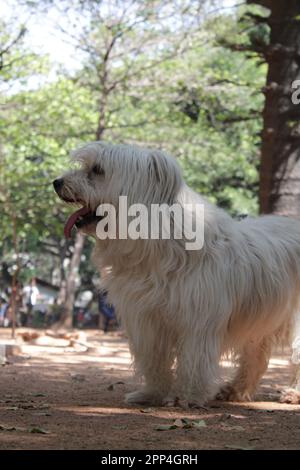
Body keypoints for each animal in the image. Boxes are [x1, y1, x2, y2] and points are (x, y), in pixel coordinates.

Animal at [52, 141, 300, 406]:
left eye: (98, 170)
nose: (56, 182)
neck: (157, 243)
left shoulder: (198, 321)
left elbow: (193, 361)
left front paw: (187, 396)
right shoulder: (147, 320)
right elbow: (154, 360)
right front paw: (153, 393)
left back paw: (292, 393)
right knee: (256, 357)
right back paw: (234, 391)